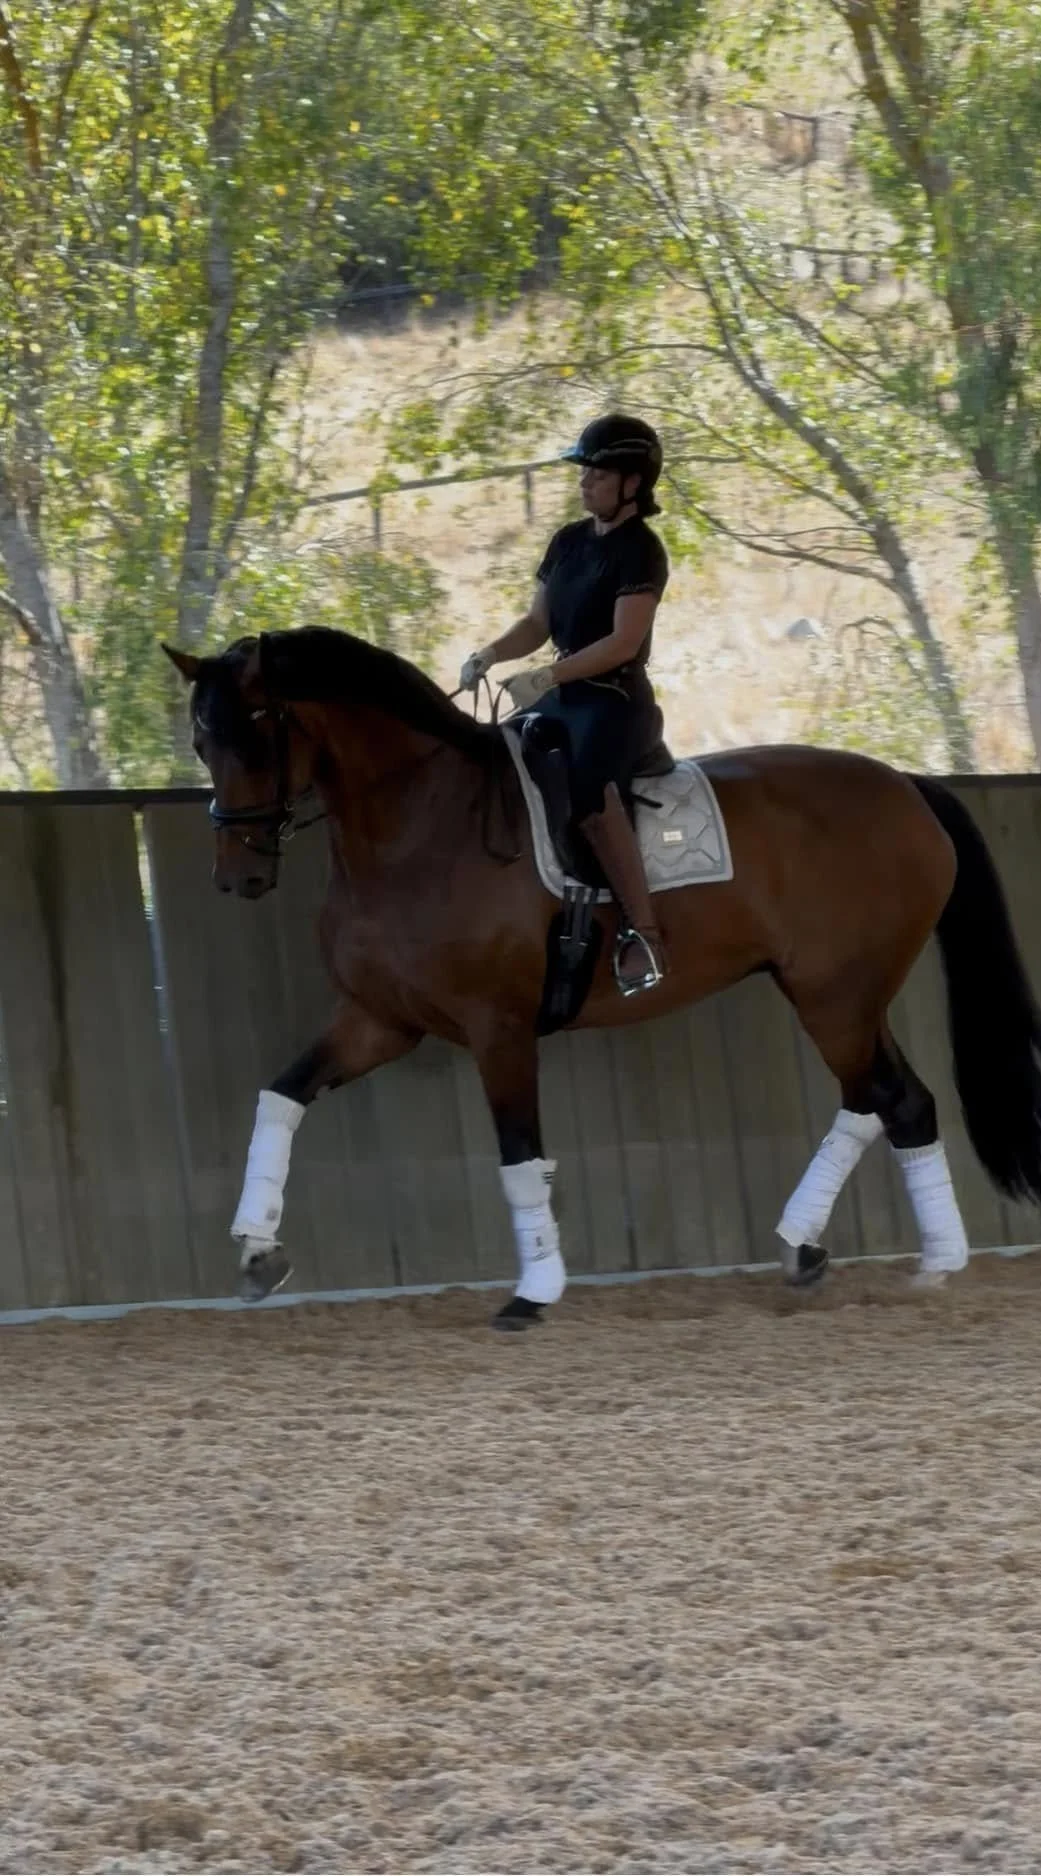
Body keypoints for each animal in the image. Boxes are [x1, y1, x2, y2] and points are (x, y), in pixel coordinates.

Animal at [163, 626, 1041, 1328]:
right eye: (203, 743)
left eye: (255, 734)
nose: (238, 876)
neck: (419, 826)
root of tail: (905, 786)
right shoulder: (379, 1021)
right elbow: (280, 1097)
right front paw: (257, 1252)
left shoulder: (497, 1028)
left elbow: (520, 1154)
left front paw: (532, 1292)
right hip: (840, 994)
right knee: (886, 1101)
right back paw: (851, 1254)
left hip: (836, 995)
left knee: (889, 1099)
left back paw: (915, 1260)